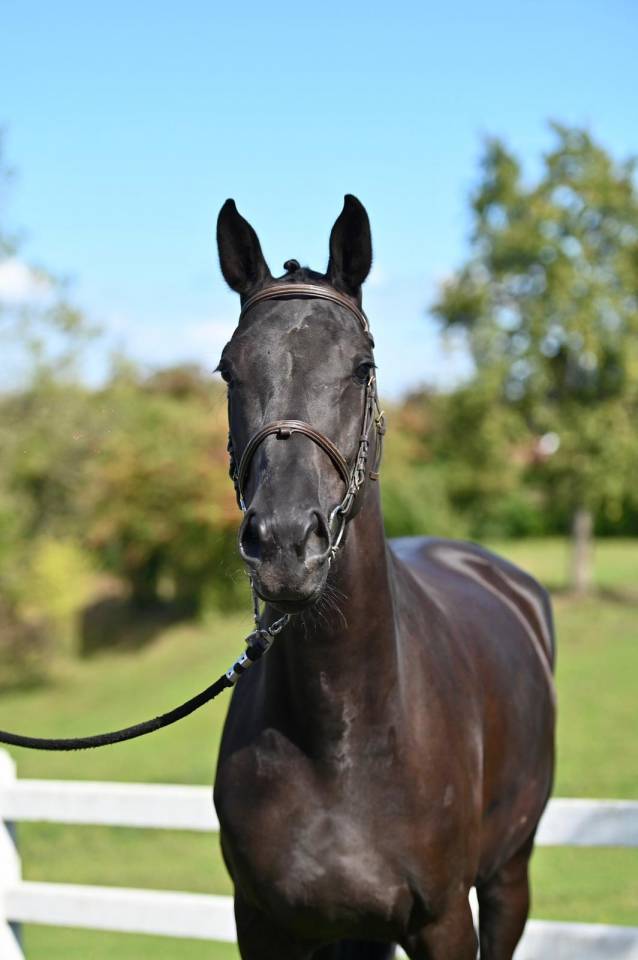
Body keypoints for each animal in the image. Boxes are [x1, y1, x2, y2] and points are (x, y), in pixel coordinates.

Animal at [213, 195, 555, 960]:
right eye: (227, 369)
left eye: (361, 365)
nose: (285, 543)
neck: (342, 735)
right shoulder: (266, 924)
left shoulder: (444, 921)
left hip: (508, 877)